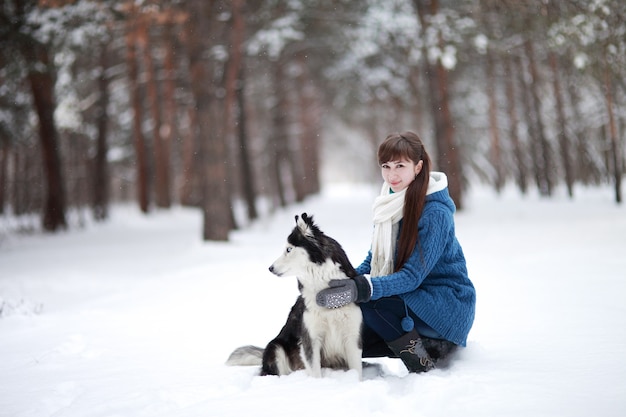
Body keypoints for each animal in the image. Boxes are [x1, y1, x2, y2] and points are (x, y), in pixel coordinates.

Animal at [225, 213, 364, 378]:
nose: (270, 268)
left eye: (288, 249)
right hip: (276, 348)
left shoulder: (352, 337)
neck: (328, 295)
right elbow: (315, 372)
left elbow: (357, 371)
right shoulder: (310, 338)